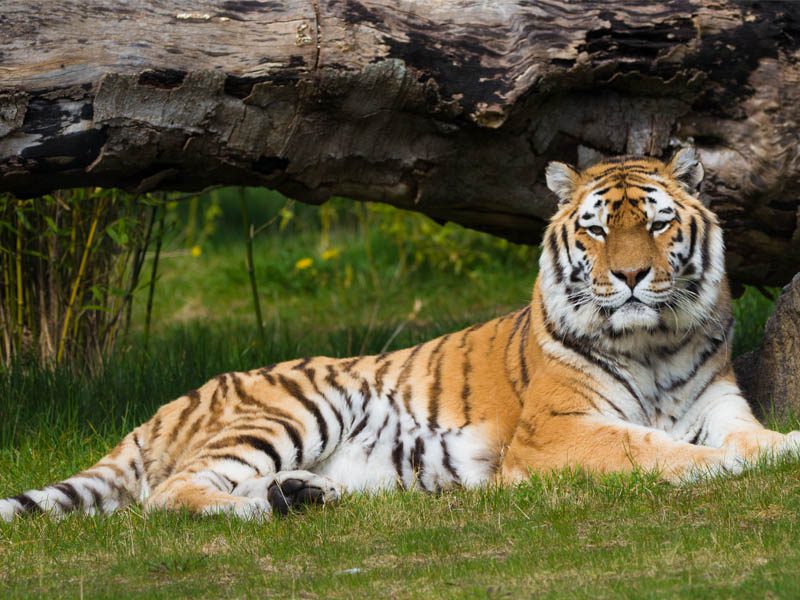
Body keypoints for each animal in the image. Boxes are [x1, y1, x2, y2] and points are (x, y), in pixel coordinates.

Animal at [1, 148, 800, 524]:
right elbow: (653, 448)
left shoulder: (720, 405)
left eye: (658, 225)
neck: (653, 341)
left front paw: (781, 447)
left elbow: (750, 436)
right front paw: (722, 465)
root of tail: (171, 405)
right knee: (169, 492)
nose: (632, 277)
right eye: (599, 231)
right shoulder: (558, 431)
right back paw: (267, 504)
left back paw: (300, 496)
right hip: (294, 409)